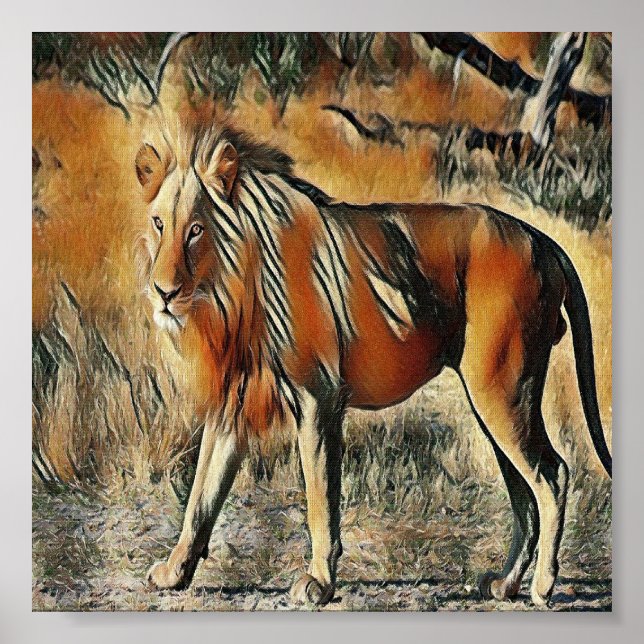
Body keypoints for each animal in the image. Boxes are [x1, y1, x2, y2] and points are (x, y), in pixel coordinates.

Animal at [134, 110, 611, 608]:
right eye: (159, 223)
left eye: (195, 229)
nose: (163, 292)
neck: (230, 293)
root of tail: (542, 239)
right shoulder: (234, 403)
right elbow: (201, 496)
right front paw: (173, 573)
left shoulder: (318, 397)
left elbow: (320, 498)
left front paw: (318, 582)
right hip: (496, 400)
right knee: (523, 494)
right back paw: (505, 585)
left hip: (502, 391)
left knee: (552, 475)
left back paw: (543, 586)